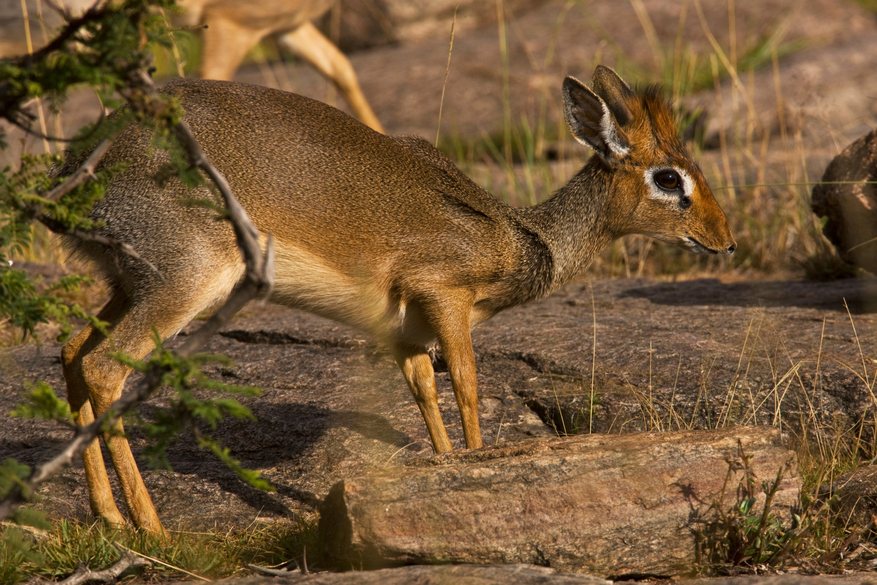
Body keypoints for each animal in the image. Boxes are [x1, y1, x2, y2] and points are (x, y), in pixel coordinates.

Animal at [58, 65, 736, 532]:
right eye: (668, 177)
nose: (724, 241)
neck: (518, 234)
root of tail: (79, 166)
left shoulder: (406, 333)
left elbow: (425, 396)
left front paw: (447, 473)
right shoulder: (445, 297)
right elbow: (466, 386)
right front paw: (482, 467)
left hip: (129, 284)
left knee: (71, 351)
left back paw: (108, 516)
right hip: (187, 283)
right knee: (104, 366)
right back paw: (152, 527)